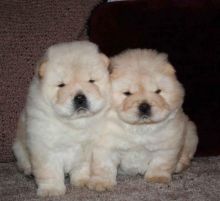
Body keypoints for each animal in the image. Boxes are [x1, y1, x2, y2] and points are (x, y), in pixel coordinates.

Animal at [12, 40, 110, 196]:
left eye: (91, 81)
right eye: (61, 85)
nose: (80, 97)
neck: (74, 123)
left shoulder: (87, 148)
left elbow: (82, 167)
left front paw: (82, 181)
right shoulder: (45, 148)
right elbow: (50, 171)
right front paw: (51, 190)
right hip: (18, 147)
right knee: (23, 161)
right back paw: (28, 171)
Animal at [88, 48, 199, 192]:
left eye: (157, 91)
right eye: (127, 93)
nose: (144, 106)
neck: (140, 128)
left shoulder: (167, 146)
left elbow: (161, 163)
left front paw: (157, 178)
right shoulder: (106, 146)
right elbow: (104, 166)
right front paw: (101, 183)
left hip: (191, 133)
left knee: (186, 157)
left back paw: (178, 166)